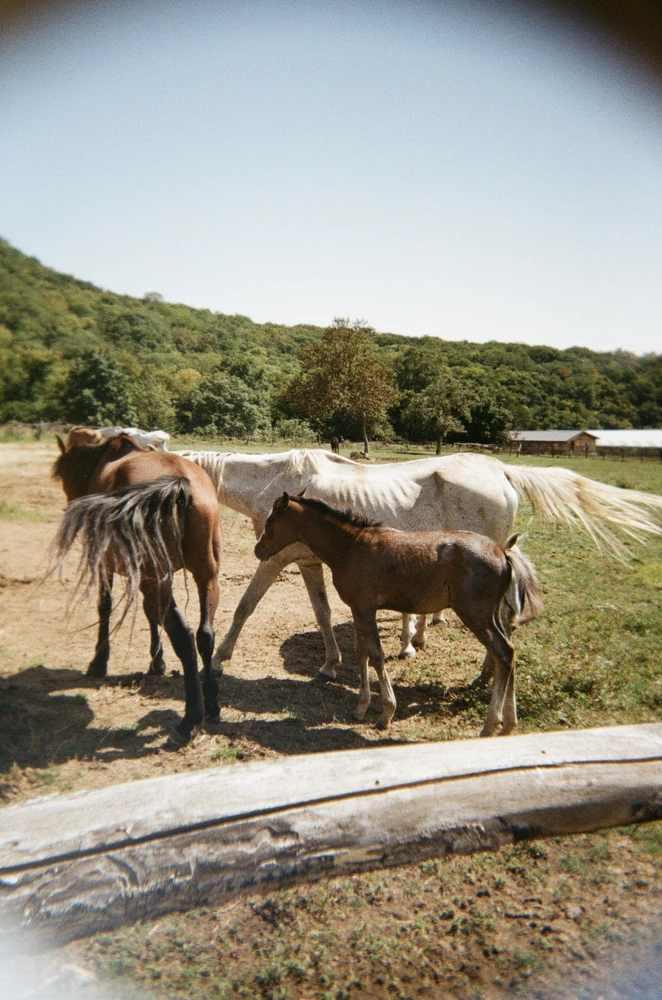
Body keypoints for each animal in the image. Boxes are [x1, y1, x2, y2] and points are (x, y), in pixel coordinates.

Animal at [52, 428, 223, 744]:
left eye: (64, 475)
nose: (70, 503)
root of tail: (181, 486)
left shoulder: (105, 564)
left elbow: (105, 607)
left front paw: (99, 662)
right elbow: (150, 613)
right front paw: (157, 662)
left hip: (156, 576)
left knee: (184, 635)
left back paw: (190, 719)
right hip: (205, 575)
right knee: (205, 635)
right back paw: (212, 706)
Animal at [255, 492, 544, 736]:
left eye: (271, 522)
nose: (258, 550)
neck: (351, 547)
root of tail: (503, 551)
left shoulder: (365, 610)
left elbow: (376, 656)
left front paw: (386, 713)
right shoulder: (359, 610)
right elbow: (361, 654)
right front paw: (361, 707)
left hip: (476, 616)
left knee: (503, 653)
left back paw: (491, 724)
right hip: (491, 616)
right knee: (509, 653)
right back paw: (509, 723)